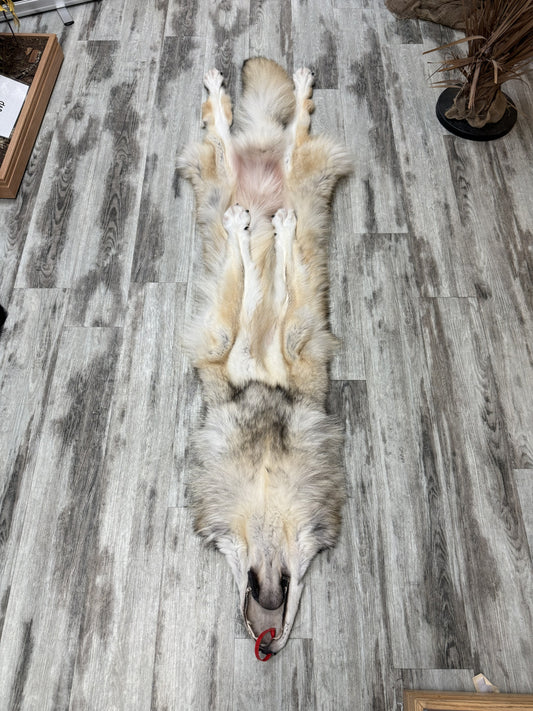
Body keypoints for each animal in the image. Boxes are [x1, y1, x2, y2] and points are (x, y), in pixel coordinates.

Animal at [179, 58, 351, 656]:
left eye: (292, 587)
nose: (268, 635)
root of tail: (262, 154)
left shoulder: (297, 340)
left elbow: (271, 279)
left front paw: (275, 234)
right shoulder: (223, 342)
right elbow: (254, 282)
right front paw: (256, 232)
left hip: (298, 167)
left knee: (294, 128)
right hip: (221, 171)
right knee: (225, 130)